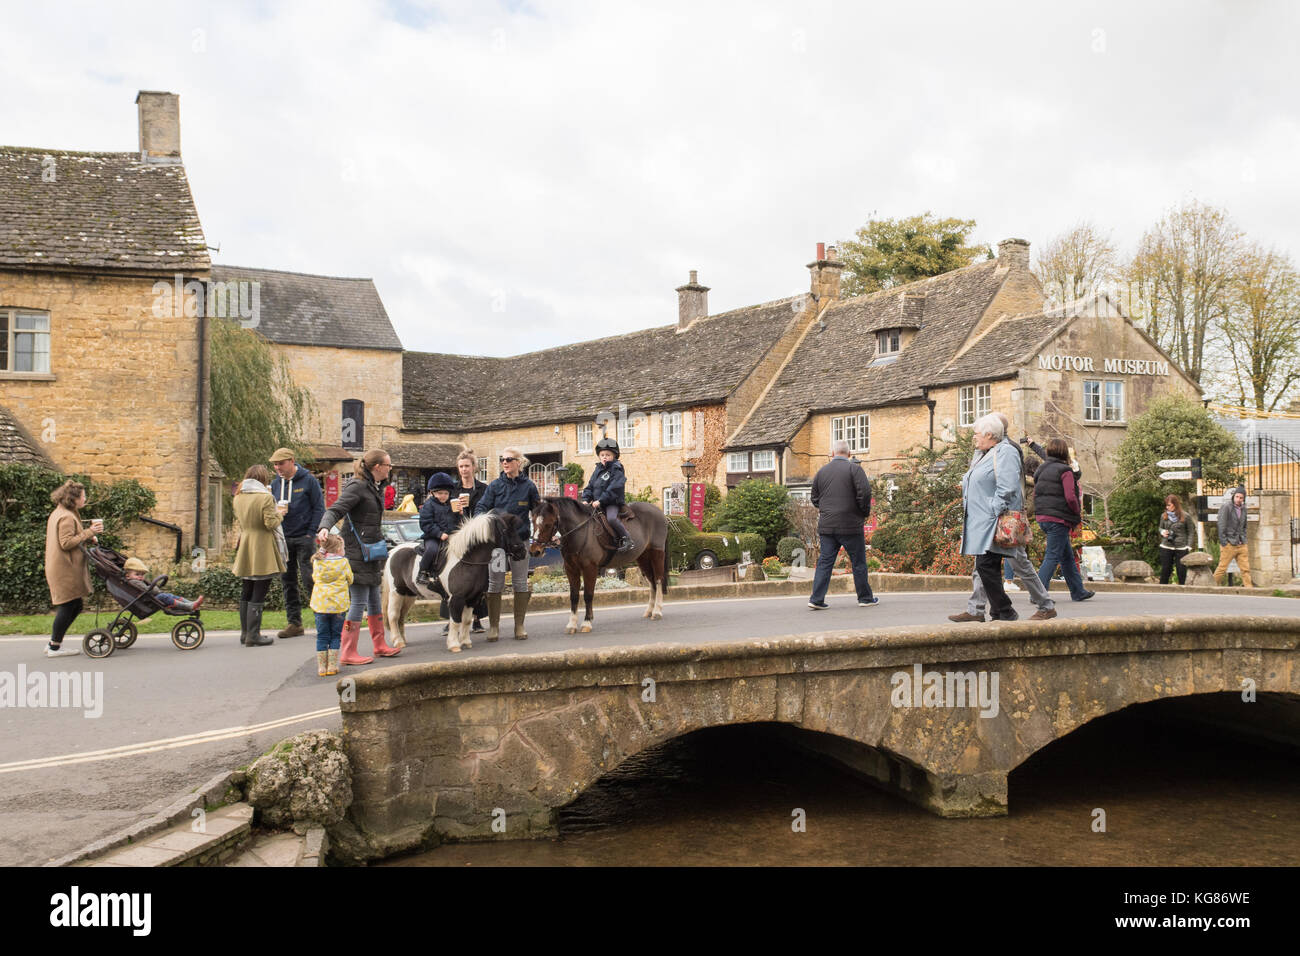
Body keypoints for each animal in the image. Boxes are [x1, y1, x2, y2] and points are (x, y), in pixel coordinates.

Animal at [382, 512, 525, 655]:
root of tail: (393, 551)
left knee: (401, 615)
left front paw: (466, 642)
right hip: (397, 592)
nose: (522, 551)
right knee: (393, 615)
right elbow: (456, 620)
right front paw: (454, 644)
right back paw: (398, 641)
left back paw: (403, 640)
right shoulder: (457, 598)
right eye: (506, 530)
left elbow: (466, 620)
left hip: (409, 594)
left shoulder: (472, 598)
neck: (465, 561)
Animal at [530, 496, 670, 632]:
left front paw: (587, 622)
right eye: (533, 521)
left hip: (656, 554)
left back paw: (657, 611)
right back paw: (649, 611)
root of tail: (659, 512)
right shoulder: (571, 569)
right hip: (643, 557)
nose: (535, 551)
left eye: (548, 524)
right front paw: (572, 624)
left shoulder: (590, 568)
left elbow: (588, 595)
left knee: (658, 580)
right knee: (652, 582)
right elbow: (574, 596)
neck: (580, 532)